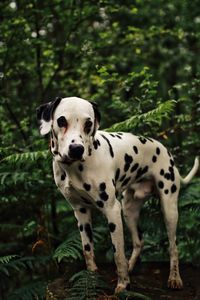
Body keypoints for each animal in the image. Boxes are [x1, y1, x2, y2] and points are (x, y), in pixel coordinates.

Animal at [37, 96, 198, 292]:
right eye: (61, 121)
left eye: (88, 123)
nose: (76, 149)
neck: (76, 167)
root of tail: (165, 150)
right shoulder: (81, 212)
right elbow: (87, 250)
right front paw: (92, 279)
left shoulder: (112, 210)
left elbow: (118, 253)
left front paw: (123, 285)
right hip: (129, 211)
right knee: (139, 241)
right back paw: (131, 267)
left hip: (169, 209)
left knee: (173, 247)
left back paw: (174, 278)